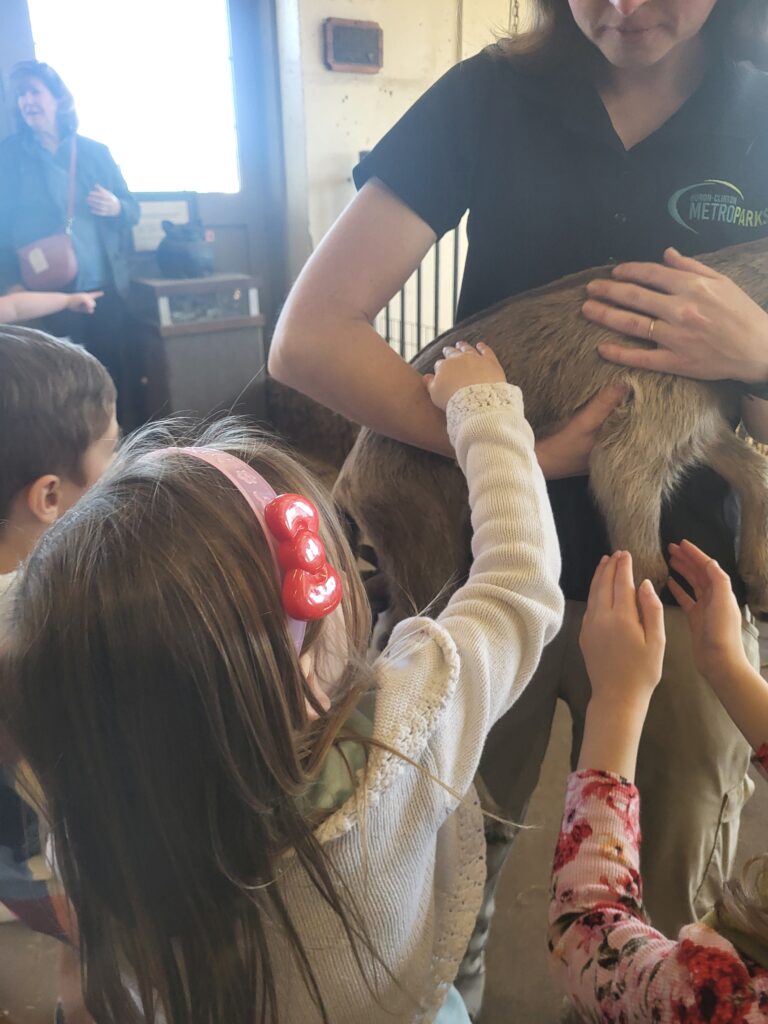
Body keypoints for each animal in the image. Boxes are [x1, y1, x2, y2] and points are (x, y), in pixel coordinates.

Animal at [333, 237, 768, 622]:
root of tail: (347, 478)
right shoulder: (635, 443)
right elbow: (646, 567)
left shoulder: (700, 430)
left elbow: (755, 474)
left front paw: (758, 579)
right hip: (421, 537)